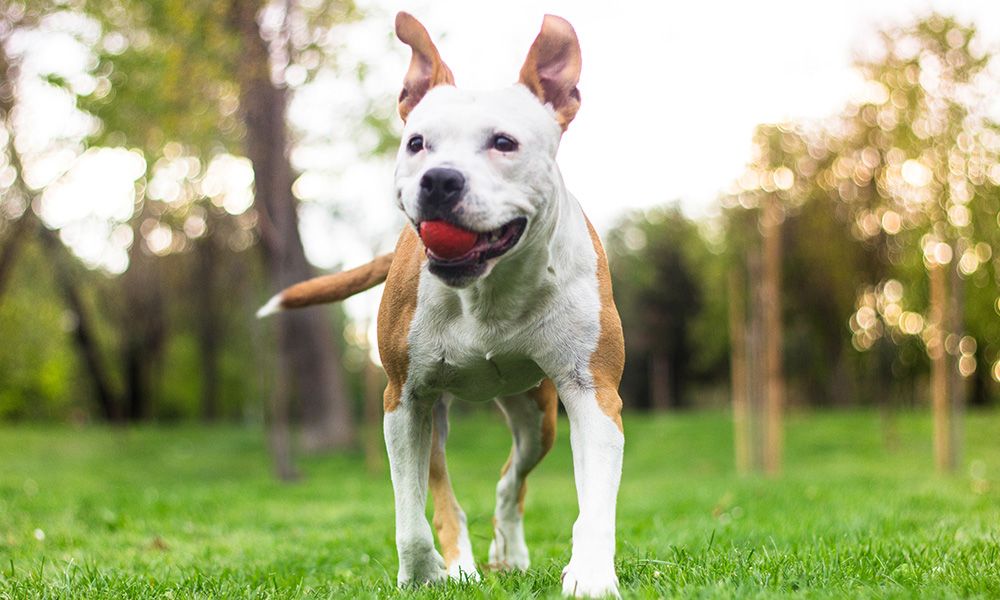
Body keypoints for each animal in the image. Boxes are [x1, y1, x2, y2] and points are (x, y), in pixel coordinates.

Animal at [262, 11, 628, 596]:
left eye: (504, 142)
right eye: (417, 143)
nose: (439, 180)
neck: (487, 292)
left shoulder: (592, 391)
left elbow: (594, 505)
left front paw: (590, 577)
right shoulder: (403, 400)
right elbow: (410, 517)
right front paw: (423, 574)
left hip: (538, 416)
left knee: (511, 479)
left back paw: (509, 552)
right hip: (433, 414)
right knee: (443, 496)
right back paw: (458, 565)